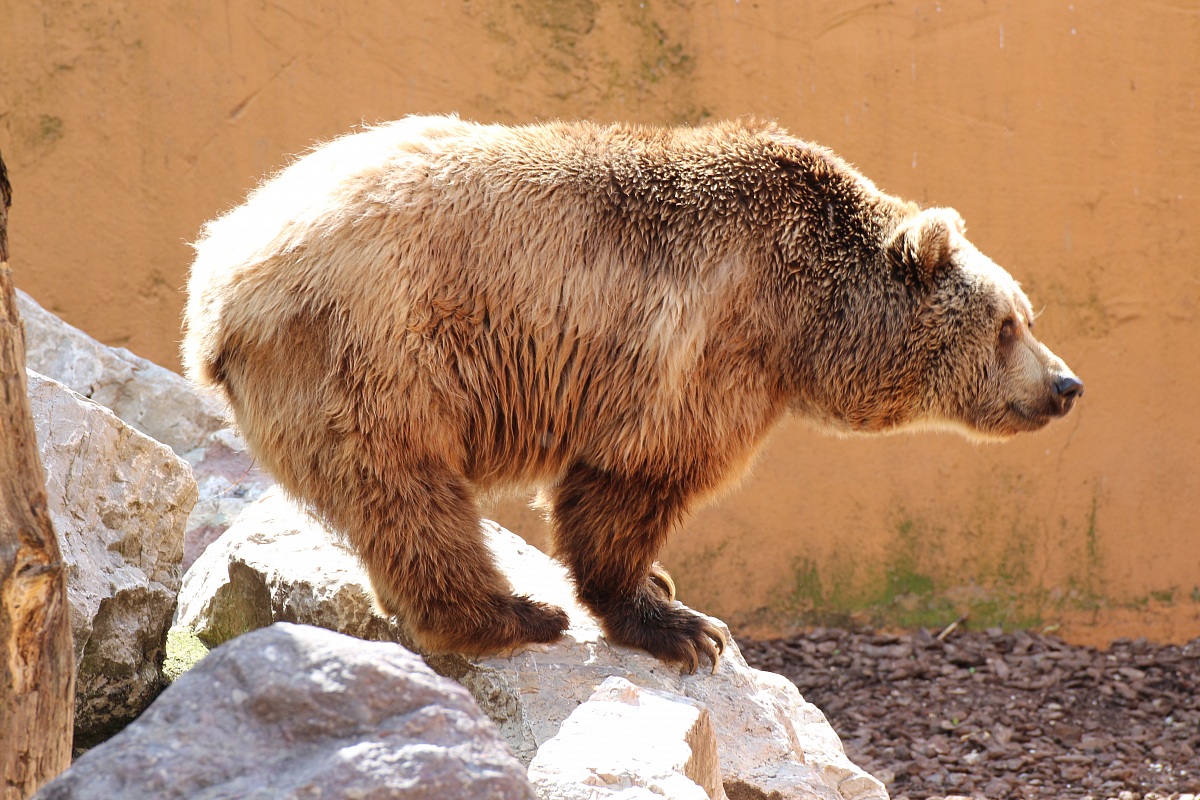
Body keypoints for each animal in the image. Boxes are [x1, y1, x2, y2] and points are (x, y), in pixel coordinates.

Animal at [184, 116, 1082, 673]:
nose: (1066, 384)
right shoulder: (702, 350)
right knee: (409, 496)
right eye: (1008, 323)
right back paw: (510, 615)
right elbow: (635, 480)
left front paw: (665, 588)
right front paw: (680, 626)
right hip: (377, 354)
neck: (806, 321)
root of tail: (219, 277)